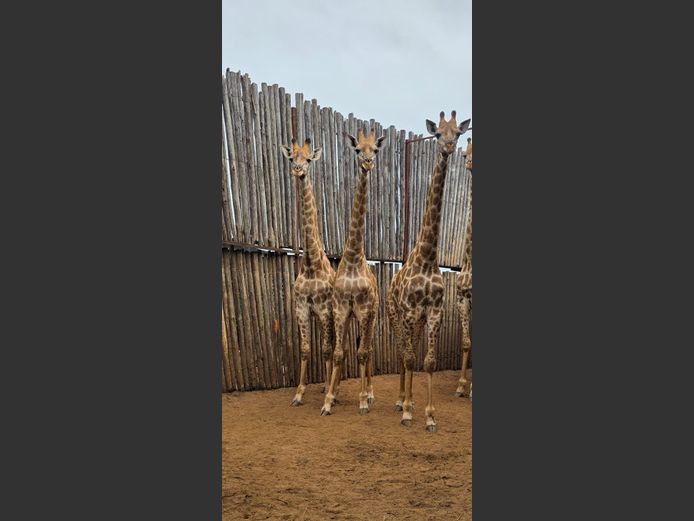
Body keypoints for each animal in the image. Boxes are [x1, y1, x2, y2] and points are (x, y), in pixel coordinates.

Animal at [387, 111, 471, 431]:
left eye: (457, 133)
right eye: (436, 134)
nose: (448, 147)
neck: (427, 257)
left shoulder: (434, 311)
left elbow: (429, 362)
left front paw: (430, 416)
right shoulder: (410, 310)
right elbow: (410, 358)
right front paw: (409, 411)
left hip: (418, 321)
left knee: (409, 351)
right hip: (396, 315)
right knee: (402, 351)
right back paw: (400, 401)